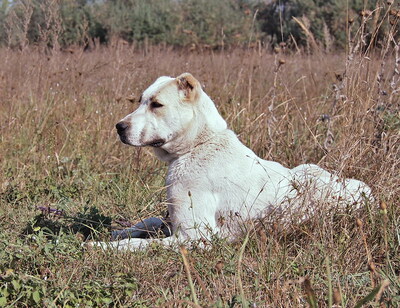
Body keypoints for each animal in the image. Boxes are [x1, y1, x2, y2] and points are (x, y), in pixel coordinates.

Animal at [92, 74, 374, 250]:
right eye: (140, 101)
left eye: (156, 105)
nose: (119, 127)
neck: (199, 145)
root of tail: (368, 193)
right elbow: (148, 222)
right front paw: (116, 231)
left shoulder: (194, 238)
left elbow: (134, 245)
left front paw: (100, 246)